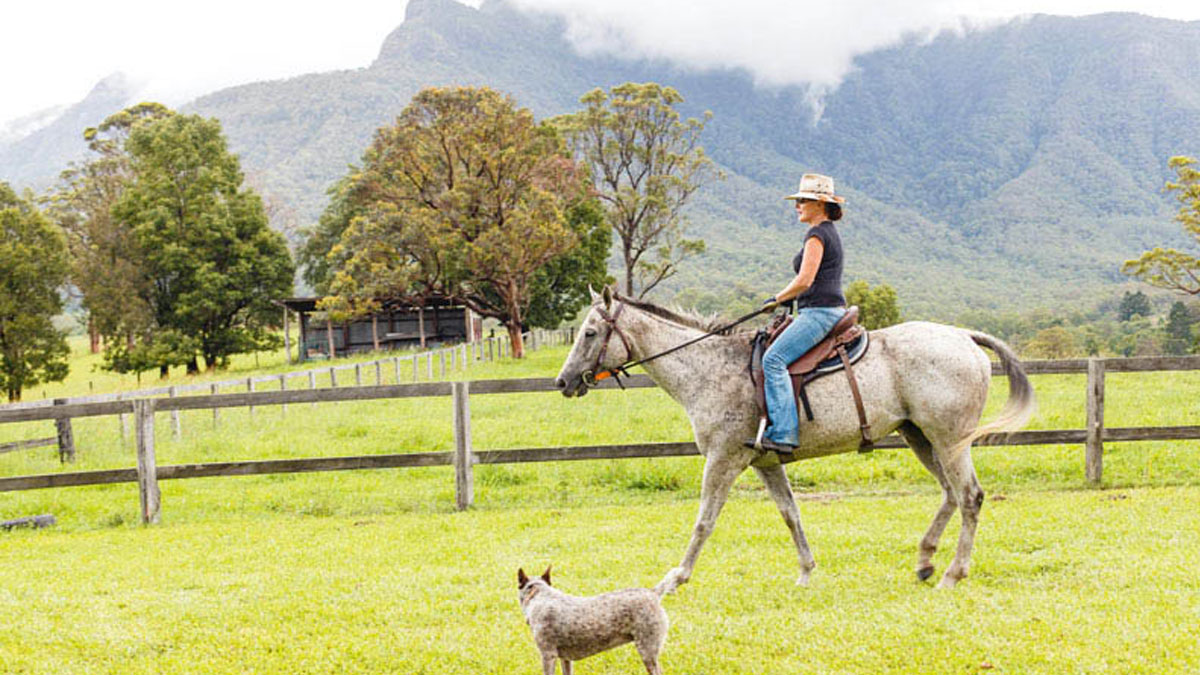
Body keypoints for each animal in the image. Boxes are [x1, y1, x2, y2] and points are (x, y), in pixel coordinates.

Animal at [552, 285, 1032, 590]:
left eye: (590, 333)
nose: (563, 381)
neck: (712, 367)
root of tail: (963, 336)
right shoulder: (765, 463)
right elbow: (791, 515)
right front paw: (806, 571)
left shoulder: (723, 459)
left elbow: (704, 520)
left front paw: (676, 577)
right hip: (921, 438)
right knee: (950, 495)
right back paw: (926, 561)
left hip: (948, 440)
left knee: (969, 497)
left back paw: (953, 573)